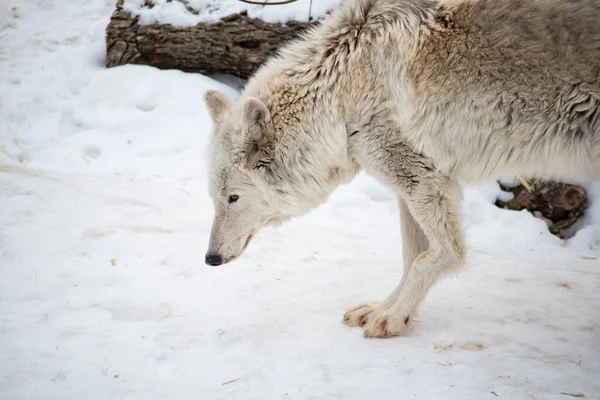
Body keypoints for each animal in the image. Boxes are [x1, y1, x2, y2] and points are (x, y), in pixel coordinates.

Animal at [203, 0, 600, 338]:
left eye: (233, 198)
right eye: (215, 198)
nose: (210, 259)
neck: (343, 95)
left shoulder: (426, 181)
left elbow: (440, 255)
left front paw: (393, 317)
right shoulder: (409, 189)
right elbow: (411, 257)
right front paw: (389, 310)